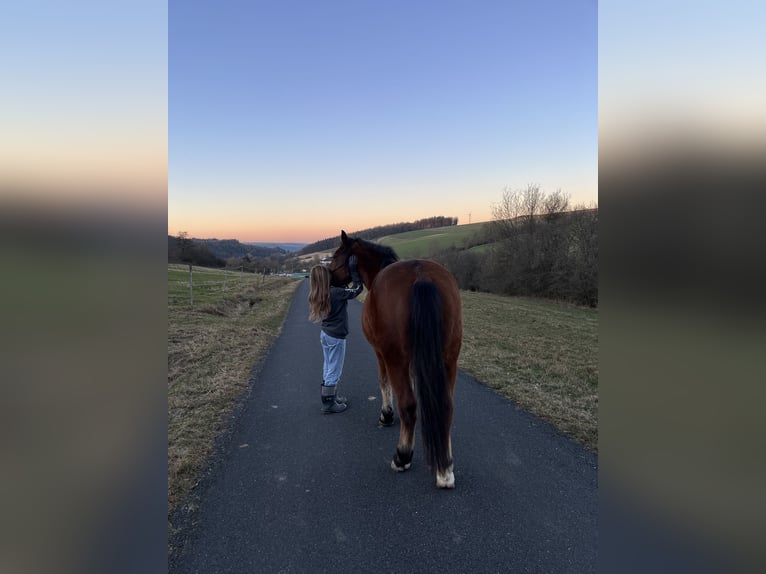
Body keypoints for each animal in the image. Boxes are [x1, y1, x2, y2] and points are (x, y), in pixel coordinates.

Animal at [328, 231, 464, 490]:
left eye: (335, 257)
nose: (329, 282)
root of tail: (421, 276)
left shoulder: (381, 353)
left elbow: (384, 382)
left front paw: (387, 415)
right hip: (449, 357)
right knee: (448, 407)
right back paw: (446, 468)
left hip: (395, 358)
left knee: (408, 405)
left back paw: (402, 457)